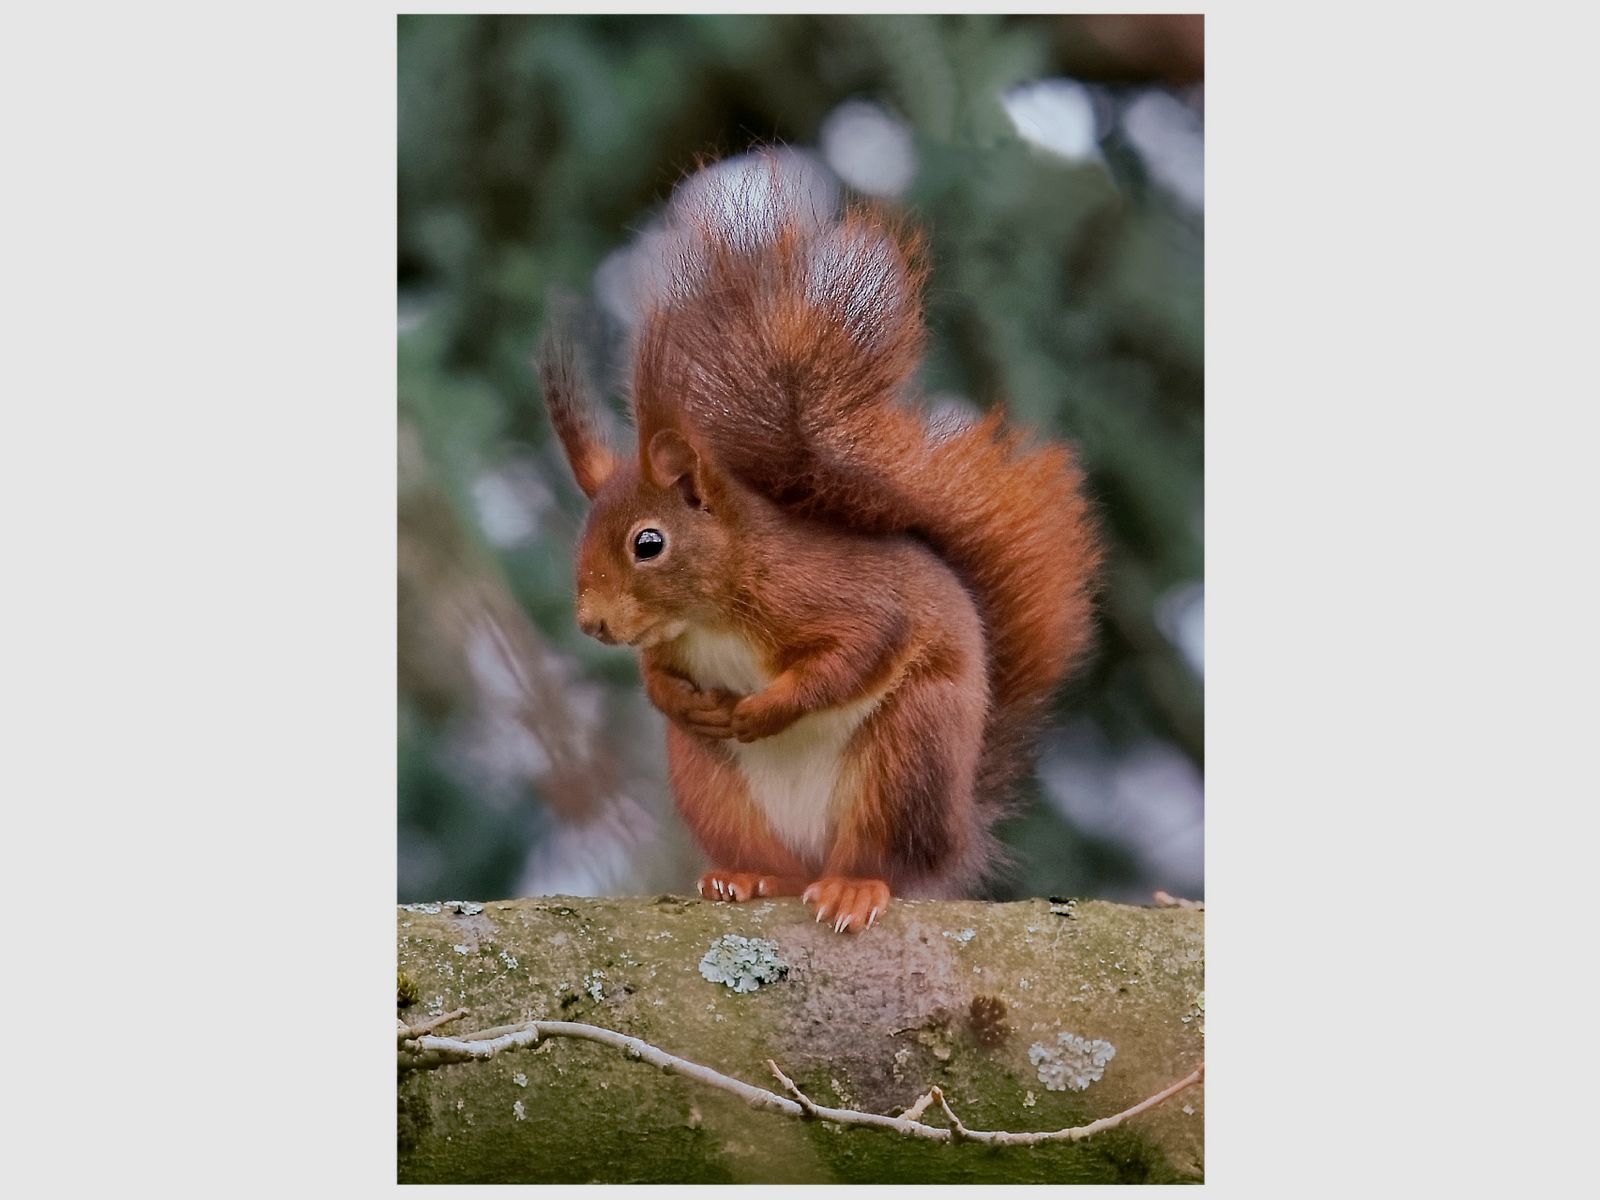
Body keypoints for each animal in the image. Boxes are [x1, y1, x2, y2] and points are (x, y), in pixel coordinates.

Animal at [539, 158, 1100, 933]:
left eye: (647, 543)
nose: (591, 623)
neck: (712, 613)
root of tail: (955, 838)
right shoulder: (673, 645)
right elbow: (657, 676)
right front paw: (681, 699)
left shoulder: (833, 598)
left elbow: (851, 655)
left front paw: (763, 710)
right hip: (713, 786)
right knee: (774, 861)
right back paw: (746, 876)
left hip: (908, 755)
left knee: (879, 859)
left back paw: (853, 887)